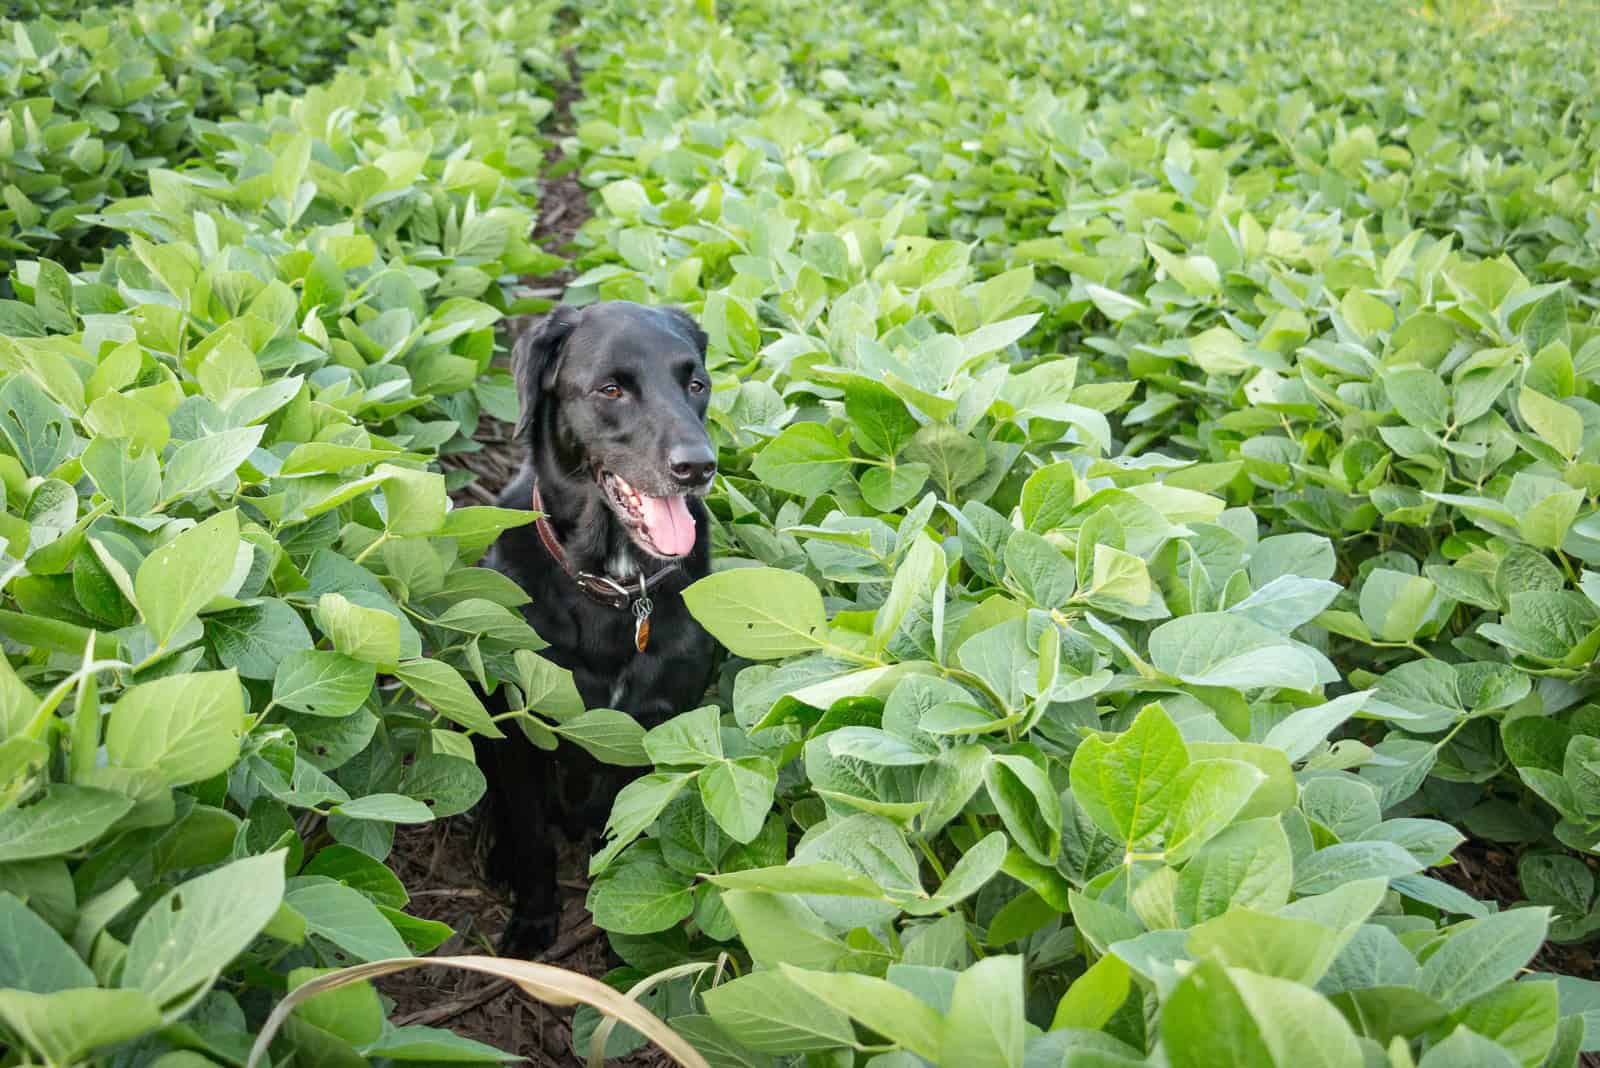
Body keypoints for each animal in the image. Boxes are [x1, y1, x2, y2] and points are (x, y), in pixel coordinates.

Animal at [473, 302, 720, 959]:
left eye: (695, 384)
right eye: (611, 389)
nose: (698, 466)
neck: (616, 589)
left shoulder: (657, 729)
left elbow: (626, 835)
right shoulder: (522, 730)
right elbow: (532, 838)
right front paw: (533, 922)